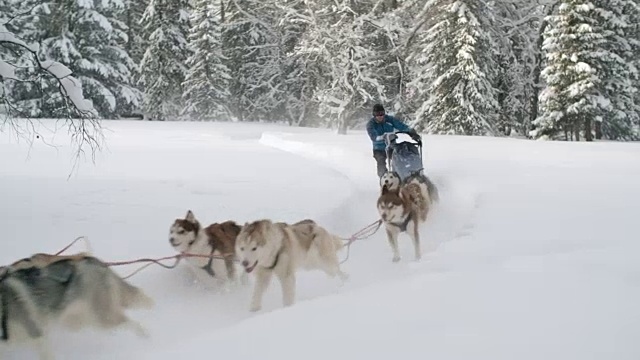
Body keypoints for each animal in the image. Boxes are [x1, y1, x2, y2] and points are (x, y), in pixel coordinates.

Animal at [0, 252, 154, 358]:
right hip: (77, 320)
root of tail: (91, 260)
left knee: (131, 322)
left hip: (101, 319)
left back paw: (146, 339)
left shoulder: (37, 335)